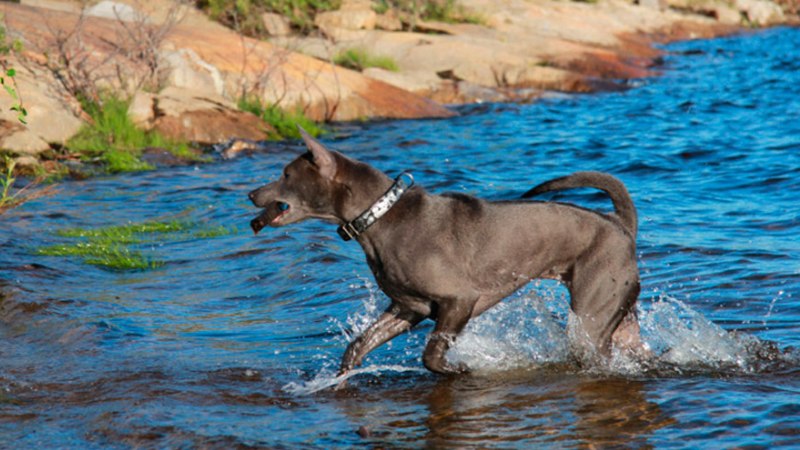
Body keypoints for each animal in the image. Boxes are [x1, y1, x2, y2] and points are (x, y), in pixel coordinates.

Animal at [250, 127, 644, 380]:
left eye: (286, 174)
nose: (251, 194)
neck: (379, 215)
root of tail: (619, 224)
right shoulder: (407, 307)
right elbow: (359, 344)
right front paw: (340, 377)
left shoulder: (459, 300)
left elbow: (432, 353)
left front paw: (462, 369)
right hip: (618, 315)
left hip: (591, 316)